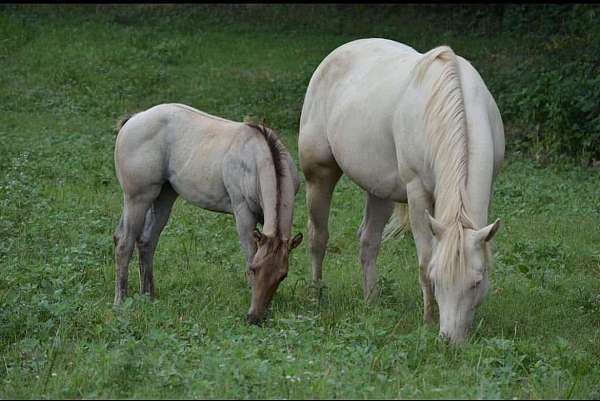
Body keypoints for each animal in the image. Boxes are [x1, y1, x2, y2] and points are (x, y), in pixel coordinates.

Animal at [112, 103, 302, 322]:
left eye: (283, 275)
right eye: (254, 270)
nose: (254, 317)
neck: (258, 157)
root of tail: (134, 119)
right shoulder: (243, 214)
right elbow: (249, 255)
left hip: (163, 197)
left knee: (146, 241)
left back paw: (148, 297)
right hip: (137, 199)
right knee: (124, 242)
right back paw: (120, 302)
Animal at [298, 39, 502, 342]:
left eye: (477, 282)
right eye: (437, 279)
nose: (450, 340)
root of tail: (335, 55)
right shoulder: (417, 195)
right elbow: (424, 260)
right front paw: (428, 320)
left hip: (379, 191)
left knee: (368, 242)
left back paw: (371, 300)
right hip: (319, 175)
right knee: (318, 237)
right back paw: (316, 296)